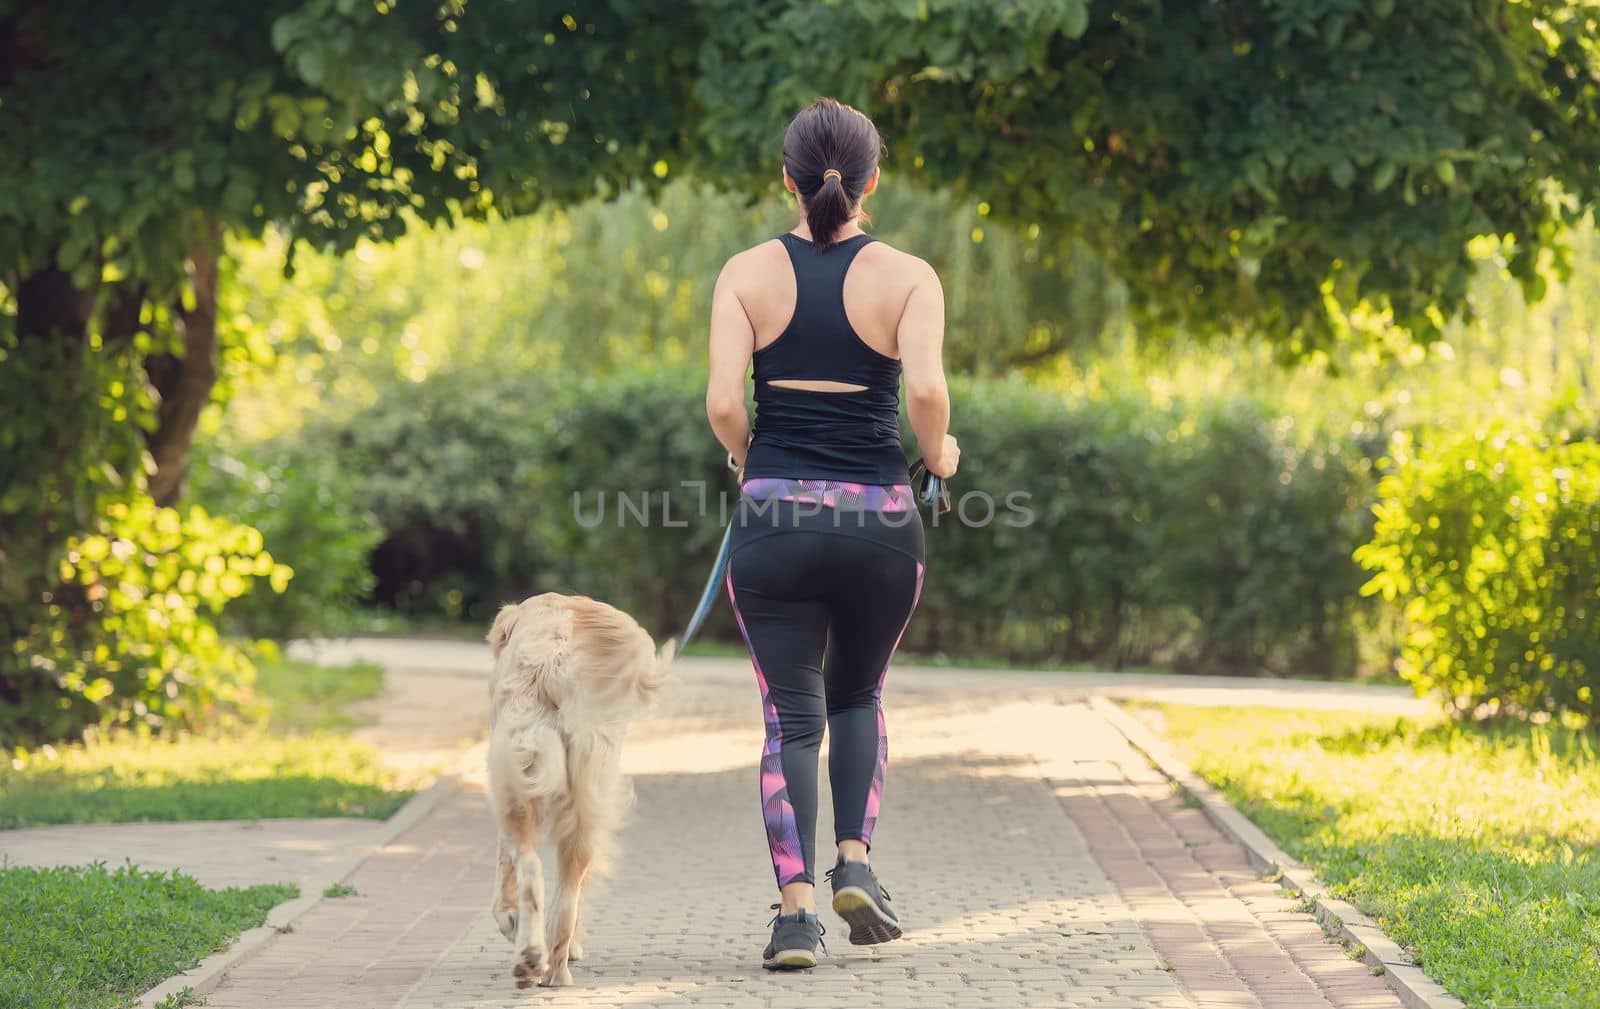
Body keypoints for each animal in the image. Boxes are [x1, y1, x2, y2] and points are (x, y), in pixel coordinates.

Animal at [480, 594, 668, 991]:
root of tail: (553, 664)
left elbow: (503, 874)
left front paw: (508, 919)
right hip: (586, 804)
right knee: (562, 896)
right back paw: (550, 967)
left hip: (517, 793)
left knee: (534, 872)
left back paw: (534, 959)